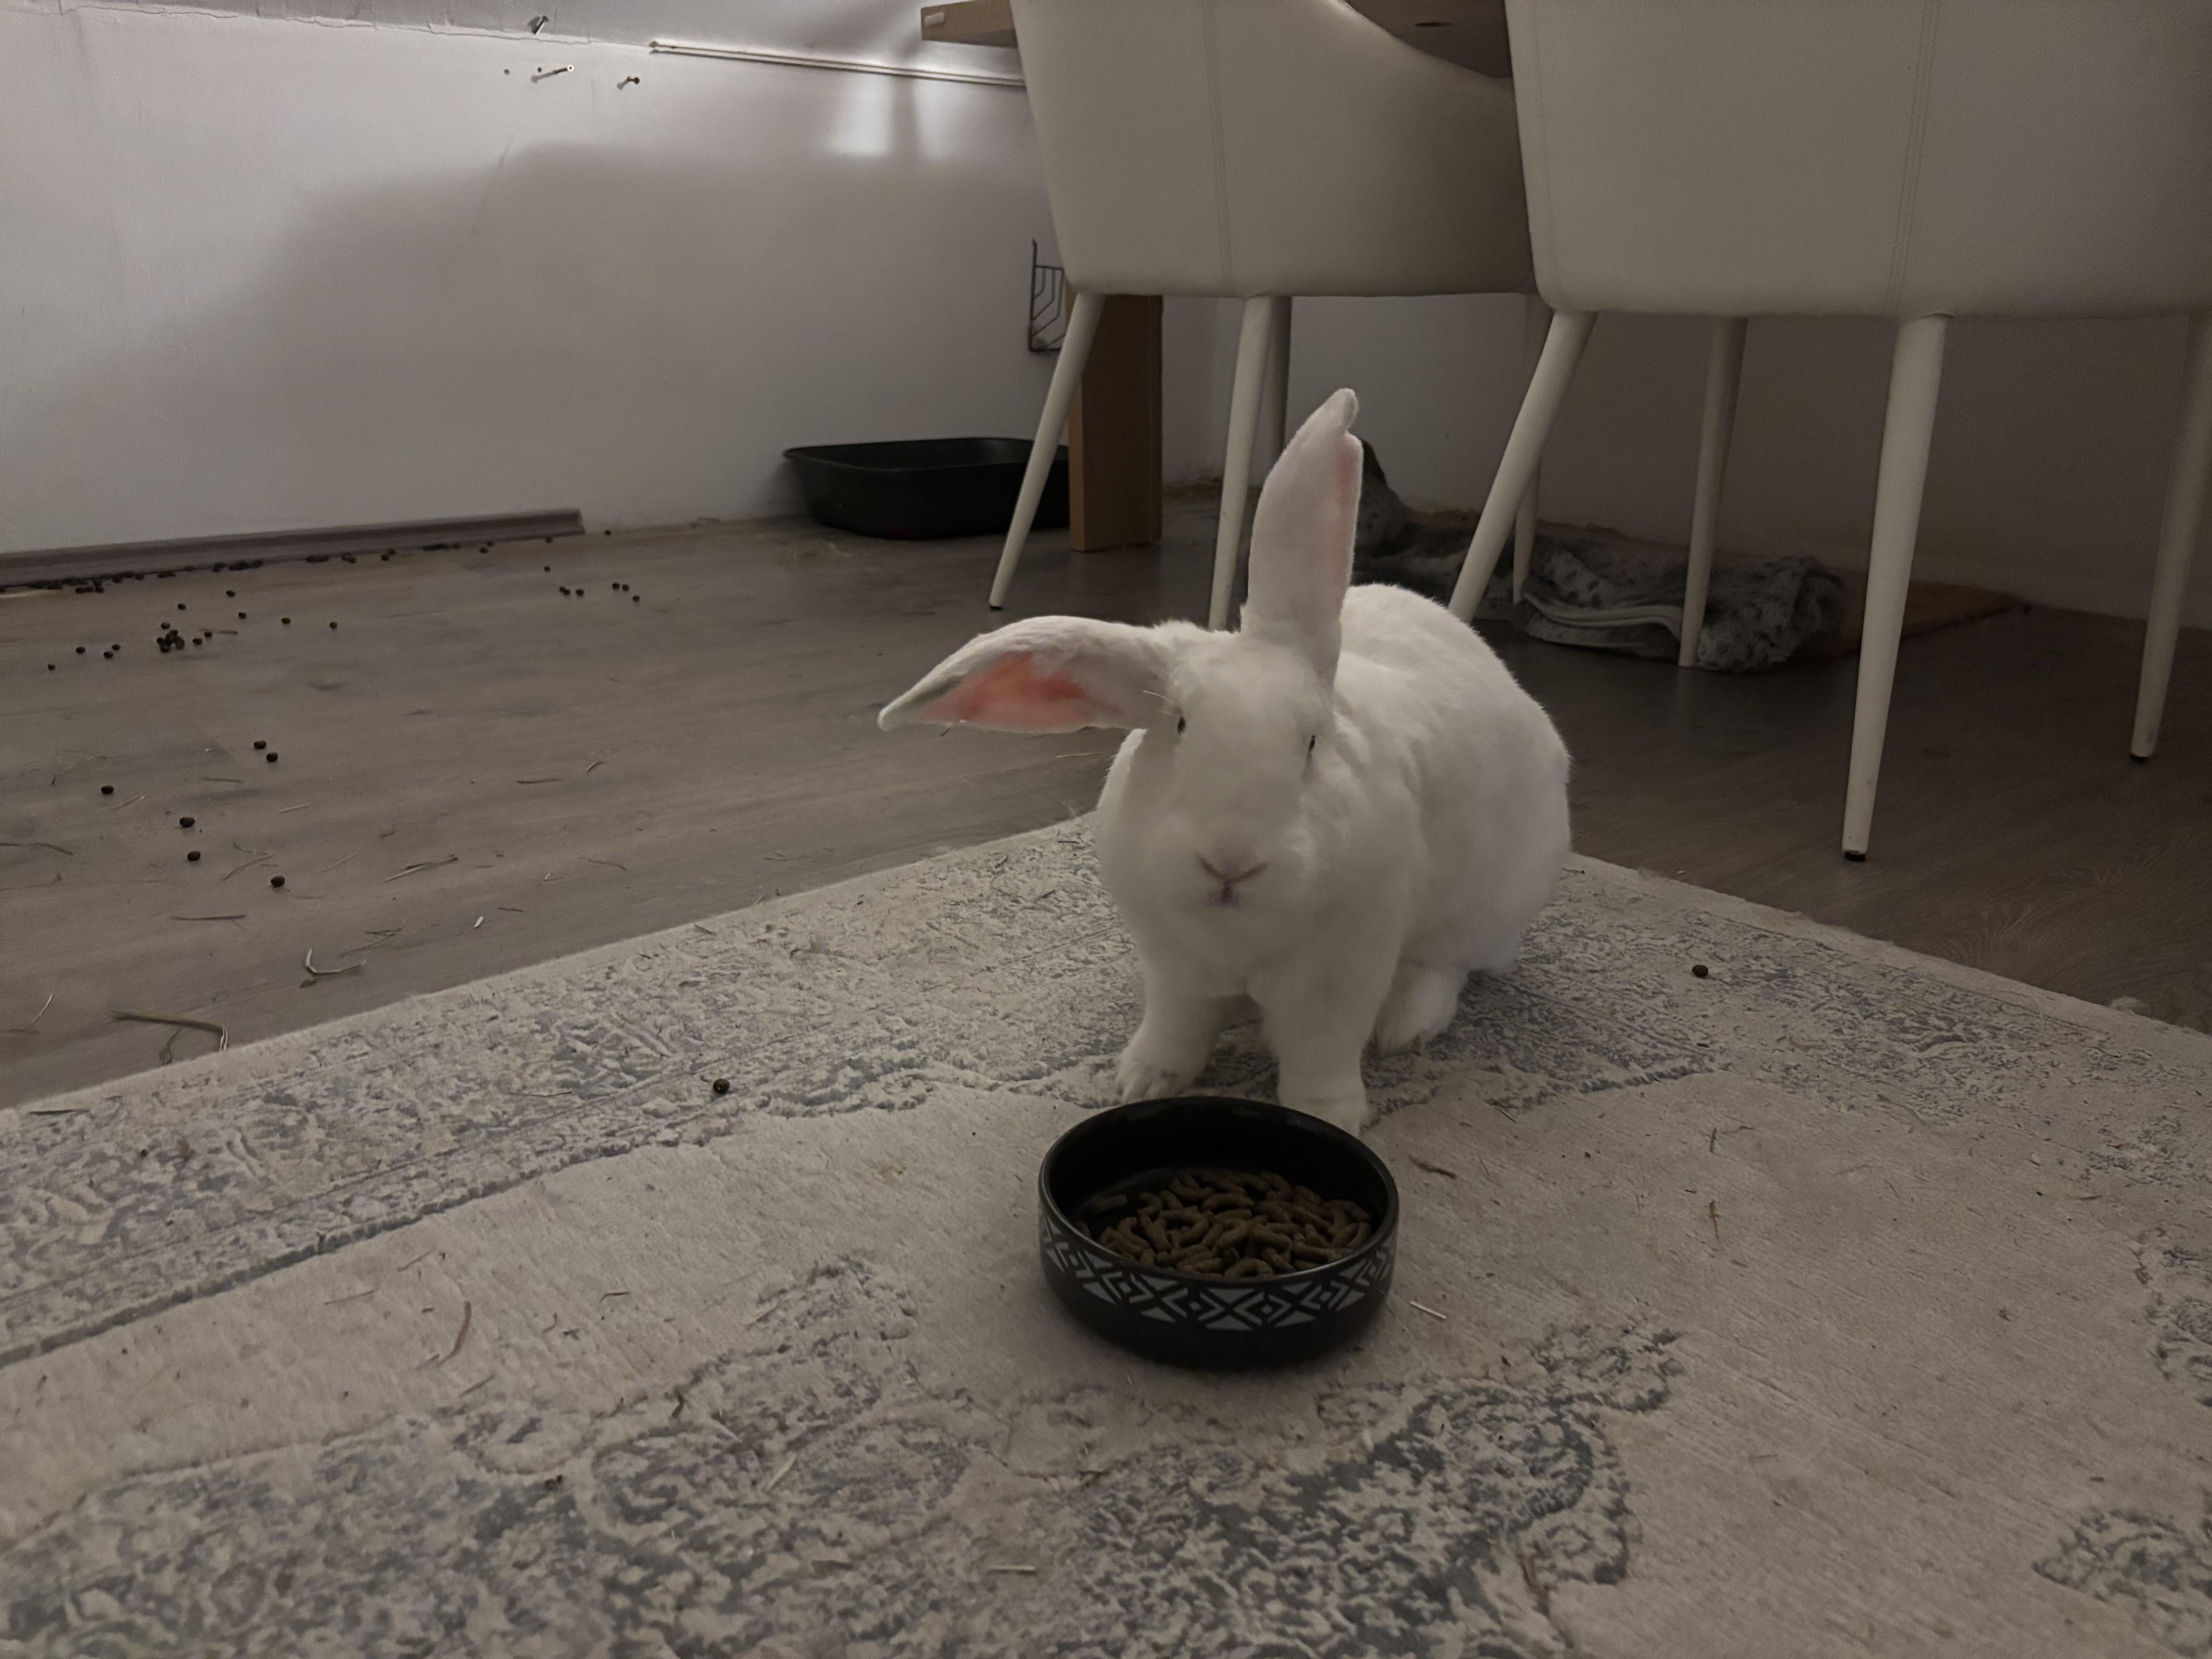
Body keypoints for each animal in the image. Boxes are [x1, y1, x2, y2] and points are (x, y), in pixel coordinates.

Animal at [879, 389, 1570, 1136]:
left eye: (1311, 744)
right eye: (1180, 725)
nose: (1231, 862)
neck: (1234, 934)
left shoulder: (1342, 975)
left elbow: (1322, 1054)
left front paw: (1330, 1117)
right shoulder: (1174, 969)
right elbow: (1175, 1029)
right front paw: (1141, 1080)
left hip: (1493, 903)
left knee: (1451, 963)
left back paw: (1406, 1024)